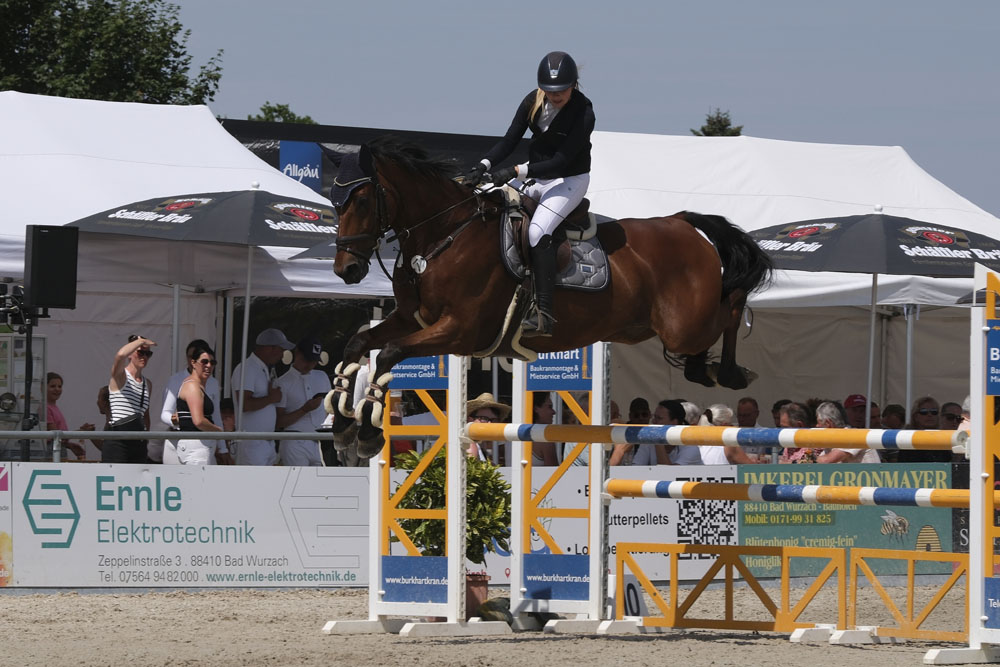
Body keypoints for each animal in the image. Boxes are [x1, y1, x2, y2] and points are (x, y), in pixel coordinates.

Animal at [325, 136, 773, 453]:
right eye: (334, 200)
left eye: (361, 200)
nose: (346, 271)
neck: (445, 233)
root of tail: (681, 222)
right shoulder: (411, 319)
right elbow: (357, 344)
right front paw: (344, 423)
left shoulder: (459, 330)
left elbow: (388, 354)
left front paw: (367, 433)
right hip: (647, 327)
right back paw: (704, 369)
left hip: (684, 325)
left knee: (732, 305)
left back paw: (729, 371)